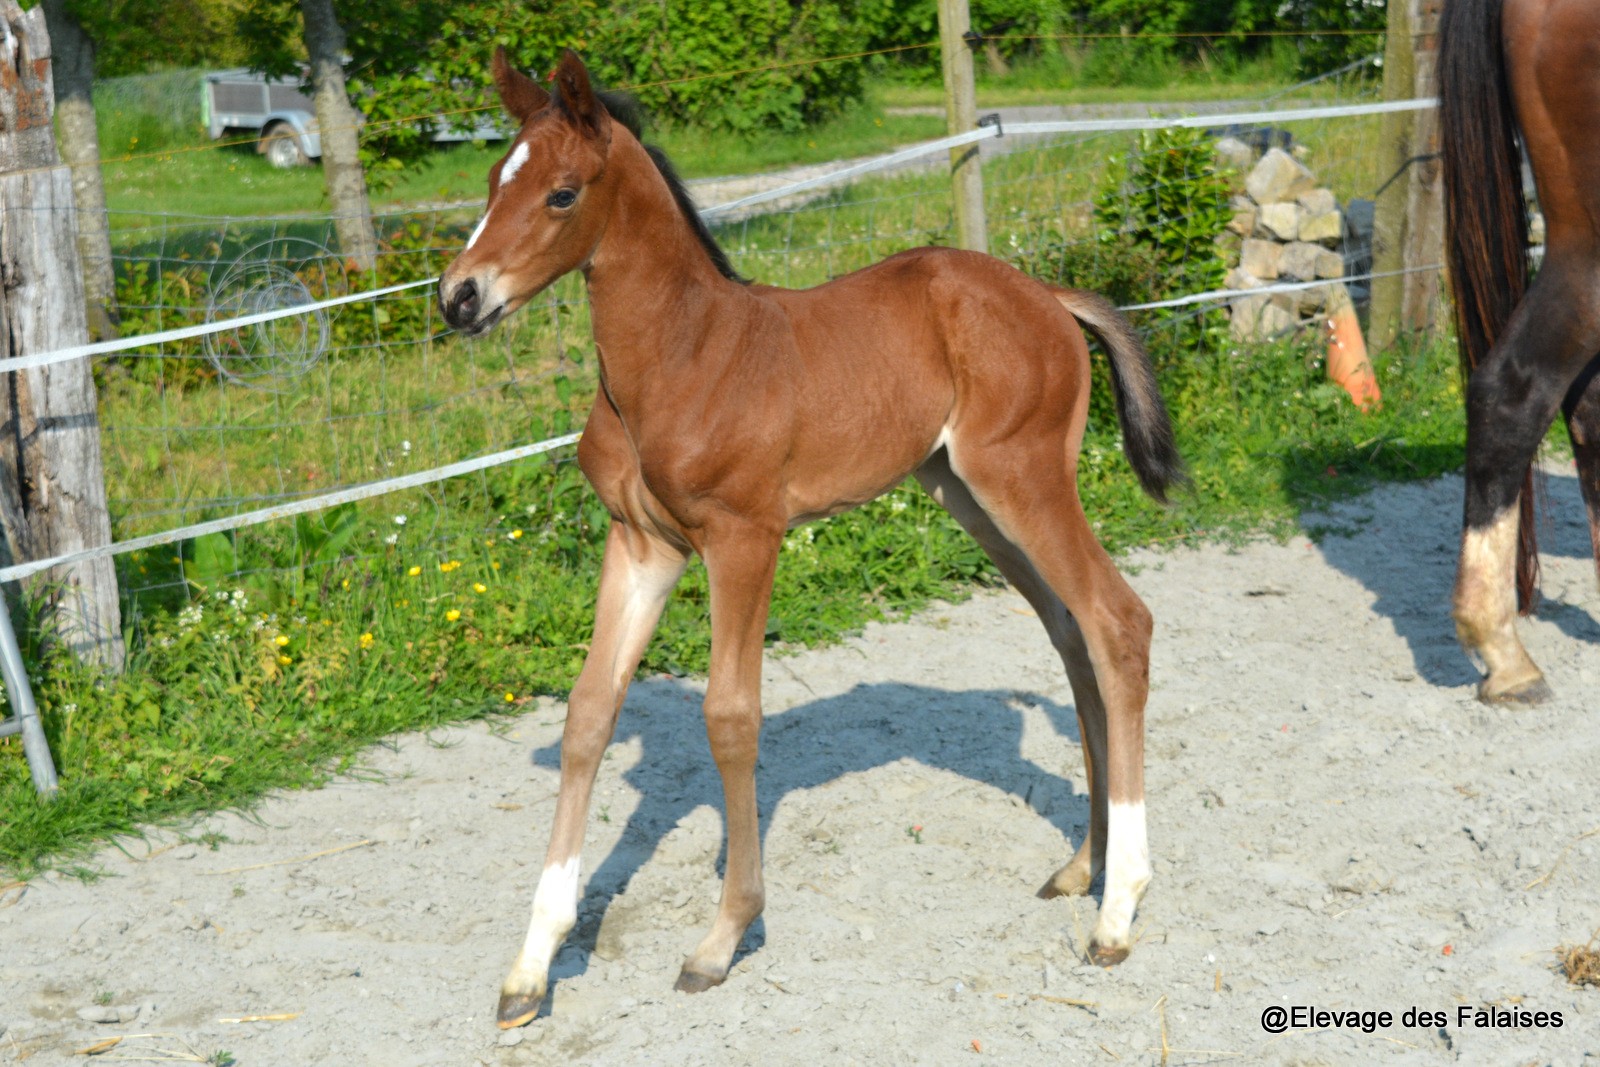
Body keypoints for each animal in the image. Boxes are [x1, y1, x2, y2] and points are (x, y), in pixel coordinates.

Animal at [438, 47, 1190, 1023]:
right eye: (495, 179)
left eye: (562, 194)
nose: (459, 297)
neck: (681, 355)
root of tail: (1048, 294)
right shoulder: (640, 544)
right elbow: (588, 714)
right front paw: (531, 967)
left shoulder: (744, 538)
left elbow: (730, 717)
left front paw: (722, 939)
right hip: (970, 495)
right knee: (1072, 634)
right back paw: (1083, 865)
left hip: (1023, 480)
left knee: (1116, 622)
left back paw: (1118, 909)